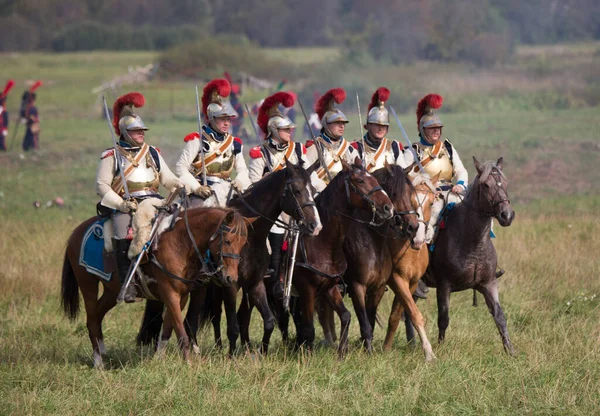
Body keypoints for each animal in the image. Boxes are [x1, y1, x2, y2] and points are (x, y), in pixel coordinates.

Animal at [60, 205, 248, 368]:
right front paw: (188, 364)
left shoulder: (181, 297)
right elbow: (181, 333)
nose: (231, 278)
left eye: (243, 244)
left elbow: (167, 330)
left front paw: (159, 360)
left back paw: (102, 352)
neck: (181, 242)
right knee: (92, 319)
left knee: (97, 316)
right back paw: (98, 362)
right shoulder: (170, 293)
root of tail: (76, 232)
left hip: (111, 292)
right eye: (228, 241)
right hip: (88, 284)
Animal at [137, 161, 324, 356]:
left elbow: (268, 321)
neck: (252, 235)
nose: (315, 226)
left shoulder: (255, 283)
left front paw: (260, 352)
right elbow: (233, 325)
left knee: (196, 318)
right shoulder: (231, 285)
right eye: (296, 190)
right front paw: (232, 355)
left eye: (312, 189)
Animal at [290, 158, 394, 360]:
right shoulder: (354, 287)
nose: (388, 208)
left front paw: (345, 353)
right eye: (360, 181)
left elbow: (356, 318)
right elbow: (364, 324)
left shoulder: (370, 289)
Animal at [414, 158, 512, 352]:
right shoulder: (444, 285)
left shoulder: (488, 283)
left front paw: (510, 350)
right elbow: (443, 319)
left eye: (505, 183)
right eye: (486, 185)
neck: (472, 241)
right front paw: (440, 347)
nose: (507, 215)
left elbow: (499, 316)